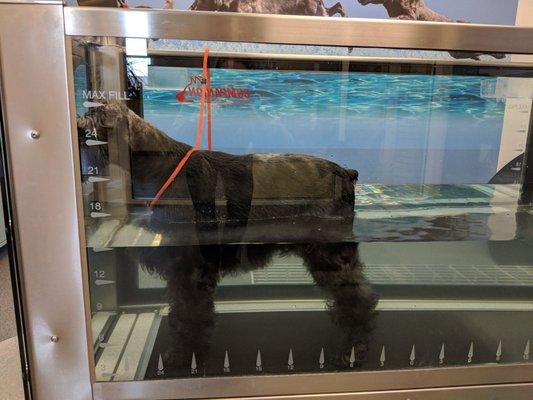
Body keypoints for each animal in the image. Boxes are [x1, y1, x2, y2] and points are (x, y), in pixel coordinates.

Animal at [79, 102, 378, 372]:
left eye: (94, 113)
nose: (80, 124)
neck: (160, 165)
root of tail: (346, 172)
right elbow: (182, 313)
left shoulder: (190, 273)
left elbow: (191, 317)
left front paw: (184, 355)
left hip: (330, 257)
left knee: (359, 301)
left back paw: (354, 351)